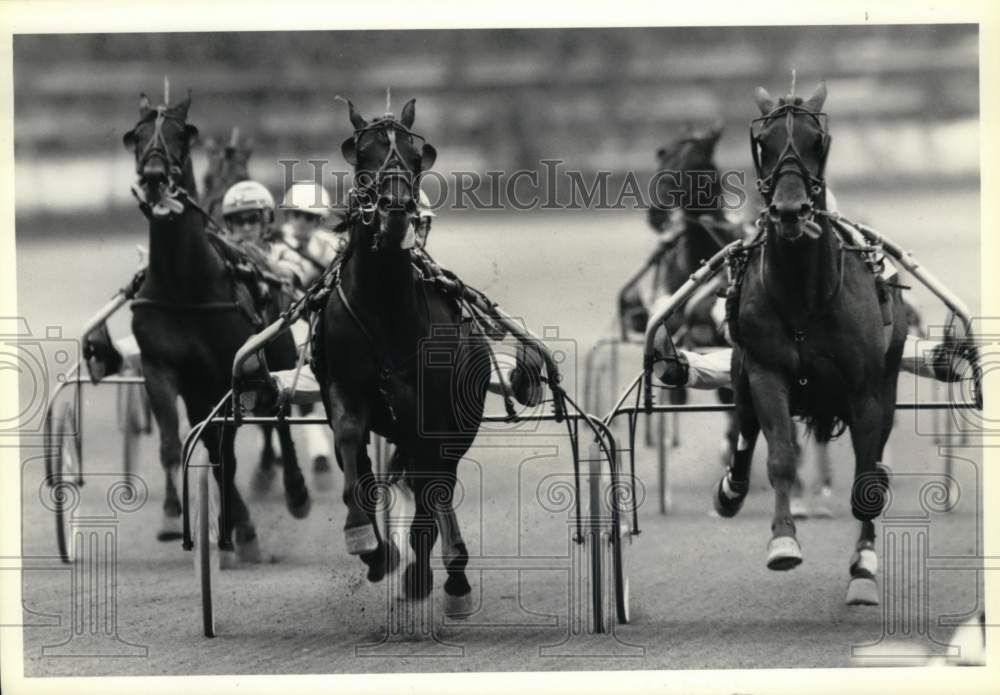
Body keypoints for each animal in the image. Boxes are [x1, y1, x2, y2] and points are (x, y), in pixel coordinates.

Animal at [712, 80, 908, 604]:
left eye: (816, 140)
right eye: (765, 143)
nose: (789, 211)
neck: (804, 296)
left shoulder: (865, 391)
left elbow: (866, 480)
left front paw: (862, 568)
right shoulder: (766, 371)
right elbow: (779, 454)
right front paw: (783, 541)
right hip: (742, 371)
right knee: (743, 426)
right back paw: (731, 489)